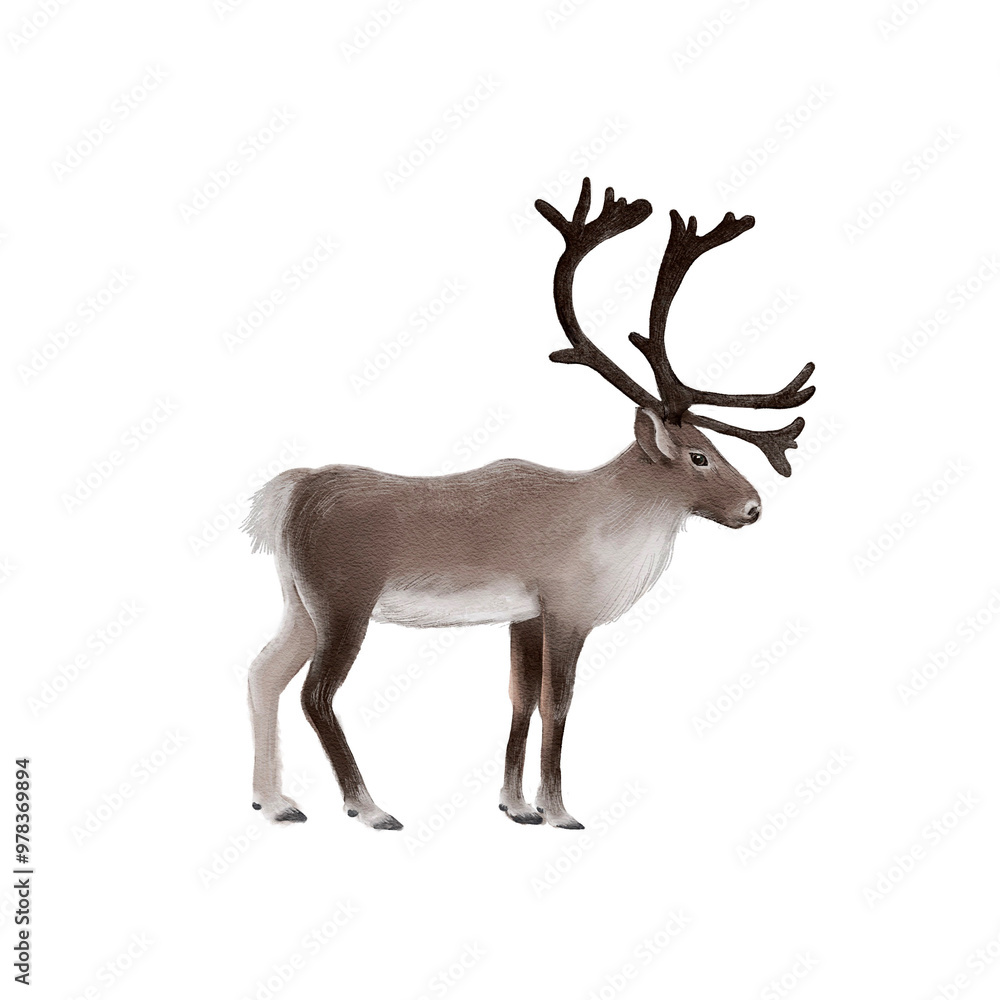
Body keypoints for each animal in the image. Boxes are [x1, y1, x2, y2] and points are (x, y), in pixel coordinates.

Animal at [242, 177, 815, 831]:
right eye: (698, 455)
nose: (753, 506)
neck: (611, 524)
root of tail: (289, 494)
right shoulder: (568, 609)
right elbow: (557, 703)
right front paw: (559, 809)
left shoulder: (525, 615)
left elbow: (520, 700)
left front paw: (515, 805)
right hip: (344, 602)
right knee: (315, 694)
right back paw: (368, 806)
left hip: (298, 602)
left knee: (262, 673)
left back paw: (275, 802)